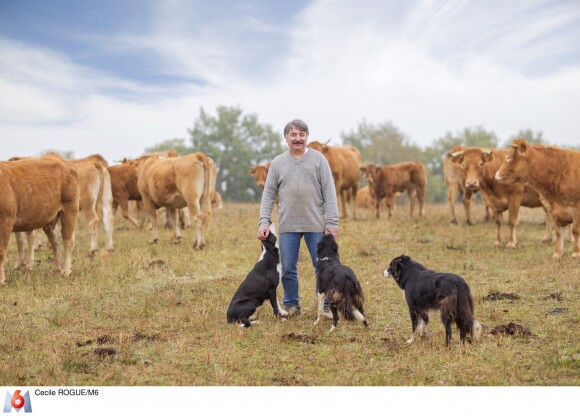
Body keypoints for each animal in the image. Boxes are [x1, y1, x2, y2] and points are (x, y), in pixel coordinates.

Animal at [0, 157, 79, 286]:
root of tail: (64, 161)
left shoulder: (5, 221)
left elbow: (1, 252)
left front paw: (1, 280)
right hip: (49, 220)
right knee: (55, 241)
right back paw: (58, 268)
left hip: (70, 210)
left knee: (68, 241)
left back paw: (66, 271)